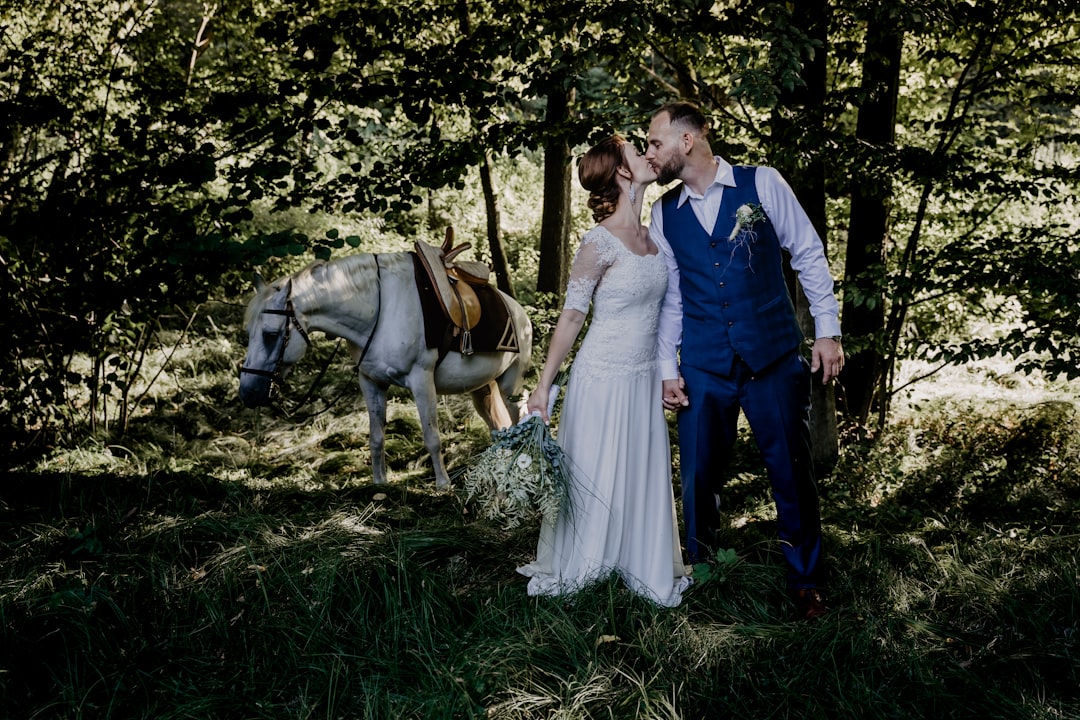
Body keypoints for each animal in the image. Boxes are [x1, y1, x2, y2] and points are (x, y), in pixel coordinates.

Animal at [240, 249, 535, 490]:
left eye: (270, 335)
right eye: (248, 333)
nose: (248, 394)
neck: (379, 312)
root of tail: (519, 311)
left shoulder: (421, 379)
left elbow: (432, 436)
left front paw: (443, 485)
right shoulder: (371, 381)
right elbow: (376, 437)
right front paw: (380, 482)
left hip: (509, 383)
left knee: (519, 414)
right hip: (482, 387)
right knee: (497, 427)